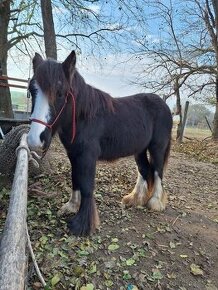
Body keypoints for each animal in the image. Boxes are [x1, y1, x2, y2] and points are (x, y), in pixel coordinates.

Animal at [26, 50, 173, 236]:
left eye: (59, 93)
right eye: (32, 90)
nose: (34, 139)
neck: (84, 117)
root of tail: (165, 106)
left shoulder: (87, 156)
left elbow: (87, 185)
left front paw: (82, 224)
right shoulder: (74, 155)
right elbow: (75, 179)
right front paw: (71, 206)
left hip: (157, 148)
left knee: (157, 171)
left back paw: (155, 203)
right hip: (139, 150)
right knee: (144, 170)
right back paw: (135, 199)